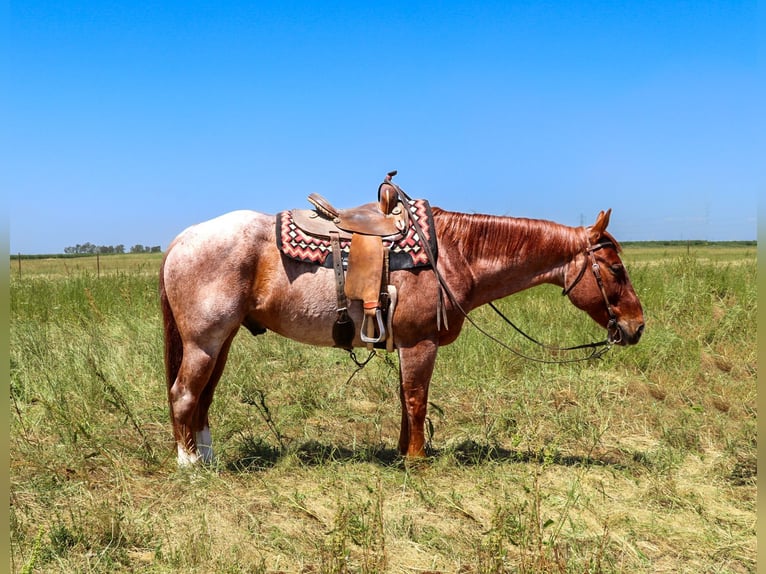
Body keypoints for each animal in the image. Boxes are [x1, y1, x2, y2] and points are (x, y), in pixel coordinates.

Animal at [159, 187, 644, 466]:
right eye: (615, 269)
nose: (637, 326)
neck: (453, 253)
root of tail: (181, 239)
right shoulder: (421, 343)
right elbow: (417, 399)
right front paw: (417, 459)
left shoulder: (409, 345)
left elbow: (403, 398)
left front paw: (401, 450)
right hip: (204, 341)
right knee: (184, 393)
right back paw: (189, 465)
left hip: (221, 341)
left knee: (203, 397)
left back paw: (208, 457)